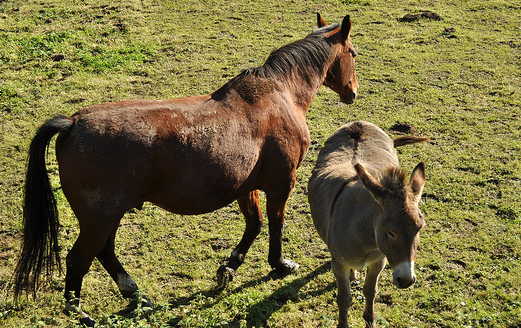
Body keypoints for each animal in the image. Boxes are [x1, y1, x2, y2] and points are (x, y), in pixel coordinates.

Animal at [15, 12, 358, 326]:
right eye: (353, 53)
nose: (353, 91)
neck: (278, 93)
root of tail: (72, 123)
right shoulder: (282, 181)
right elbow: (276, 224)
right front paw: (280, 264)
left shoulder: (246, 187)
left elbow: (255, 224)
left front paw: (229, 267)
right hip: (100, 218)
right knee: (80, 259)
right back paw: (81, 313)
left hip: (106, 217)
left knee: (105, 252)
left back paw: (137, 296)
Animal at [308, 121, 426, 328]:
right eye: (389, 231)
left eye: (419, 228)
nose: (406, 280)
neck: (365, 239)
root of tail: (358, 124)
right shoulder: (338, 264)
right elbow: (344, 298)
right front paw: (343, 324)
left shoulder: (379, 262)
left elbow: (370, 291)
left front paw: (370, 321)